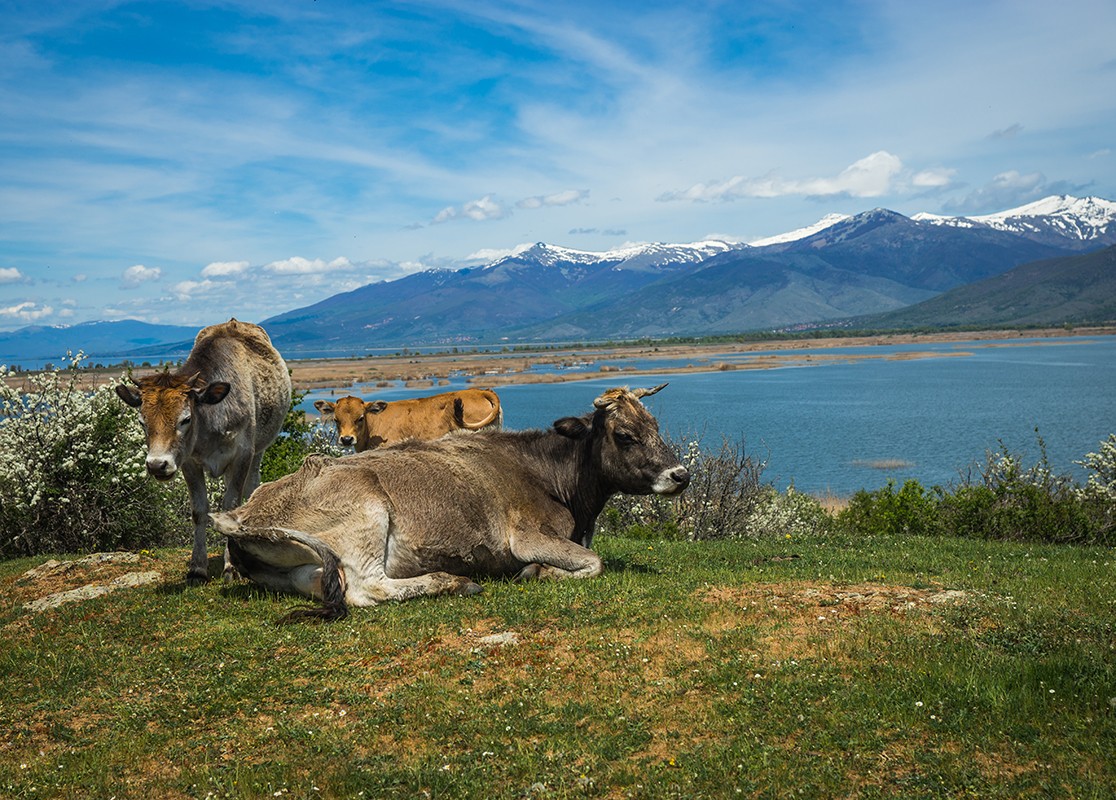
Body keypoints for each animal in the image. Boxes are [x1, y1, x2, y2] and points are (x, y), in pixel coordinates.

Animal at [115, 319, 292, 583]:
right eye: (142, 422)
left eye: (185, 419)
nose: (157, 464)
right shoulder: (189, 462)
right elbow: (199, 510)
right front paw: (197, 568)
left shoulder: (242, 455)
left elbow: (230, 506)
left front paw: (231, 568)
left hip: (259, 449)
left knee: (252, 486)